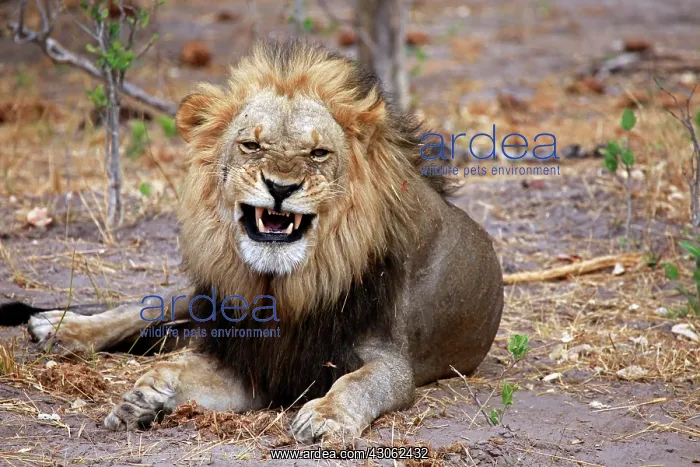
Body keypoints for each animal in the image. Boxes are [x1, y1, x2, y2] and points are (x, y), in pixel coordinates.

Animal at [0, 40, 503, 442]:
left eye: (318, 153)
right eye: (251, 145)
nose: (280, 187)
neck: (283, 285)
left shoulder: (390, 361)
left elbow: (359, 384)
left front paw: (324, 416)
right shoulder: (249, 359)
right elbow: (177, 363)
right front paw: (146, 397)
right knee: (142, 308)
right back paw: (60, 327)